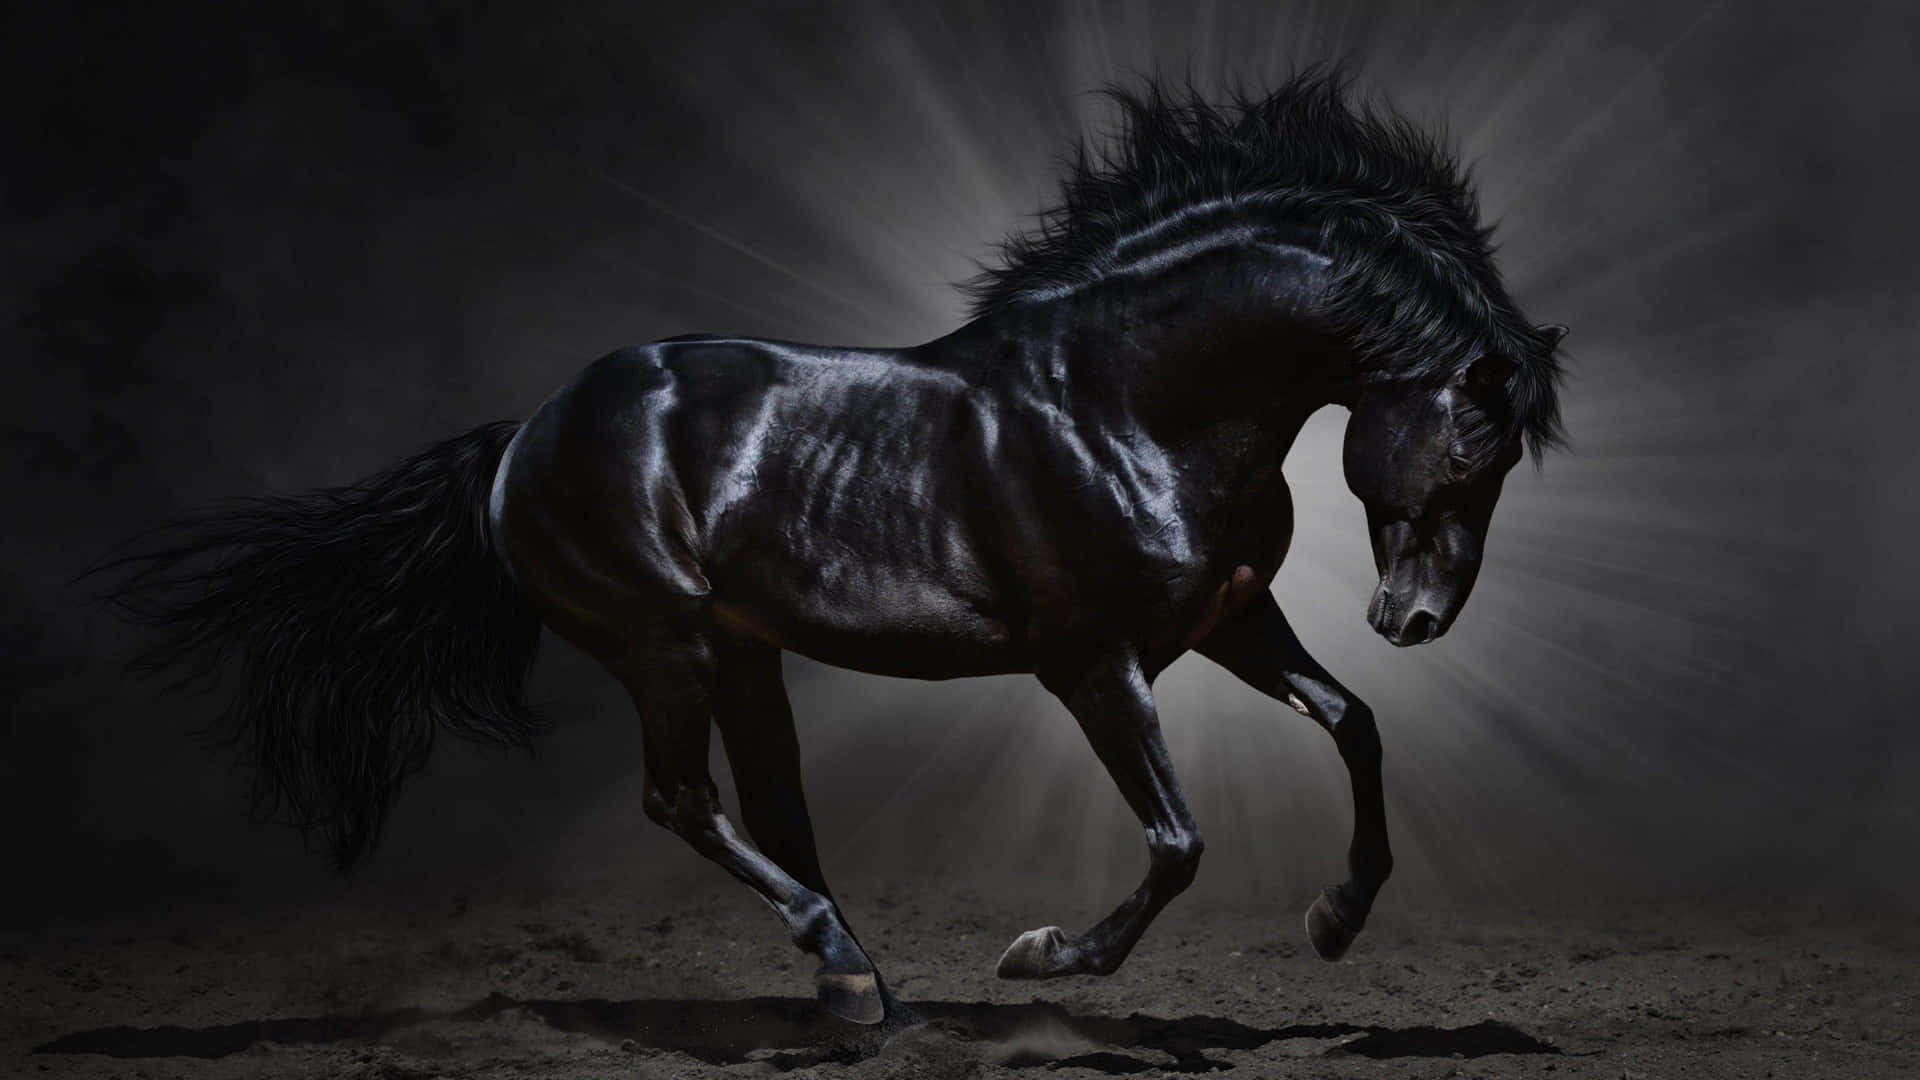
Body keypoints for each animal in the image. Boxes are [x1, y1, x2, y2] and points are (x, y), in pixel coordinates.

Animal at [101, 71, 1567, 1028]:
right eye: (1470, 448)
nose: (1414, 619)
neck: (1127, 403)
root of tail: (521, 437)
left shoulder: (1227, 620)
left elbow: (1355, 724)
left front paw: (1336, 919)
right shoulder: (1093, 664)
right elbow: (1177, 840)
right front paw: (1043, 958)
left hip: (741, 654)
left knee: (774, 809)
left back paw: (859, 984)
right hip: (663, 646)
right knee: (683, 803)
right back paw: (850, 975)